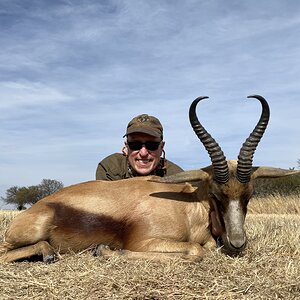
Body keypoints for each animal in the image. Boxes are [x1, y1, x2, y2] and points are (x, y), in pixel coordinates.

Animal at [0, 96, 298, 262]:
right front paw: (106, 251)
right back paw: (48, 253)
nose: (237, 243)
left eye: (249, 195)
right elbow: (196, 251)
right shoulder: (146, 242)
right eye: (215, 194)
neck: (187, 209)